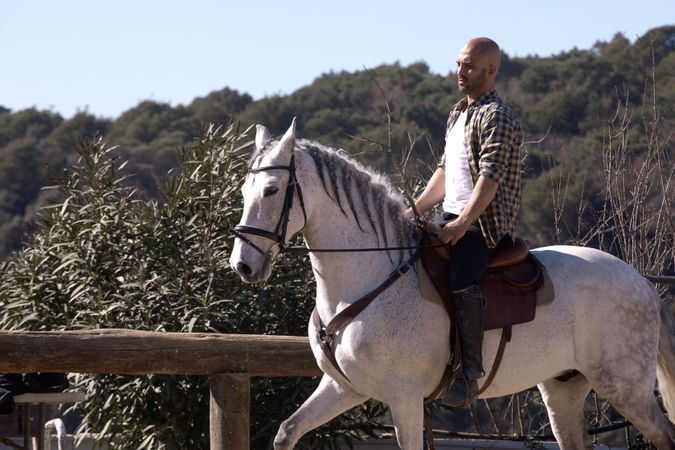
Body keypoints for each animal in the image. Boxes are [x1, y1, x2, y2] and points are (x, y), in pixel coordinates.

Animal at [231, 119, 675, 450]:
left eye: (271, 190)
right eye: (243, 190)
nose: (243, 265)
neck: (366, 280)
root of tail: (641, 282)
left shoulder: (405, 398)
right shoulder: (344, 388)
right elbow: (287, 431)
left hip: (626, 389)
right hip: (564, 389)